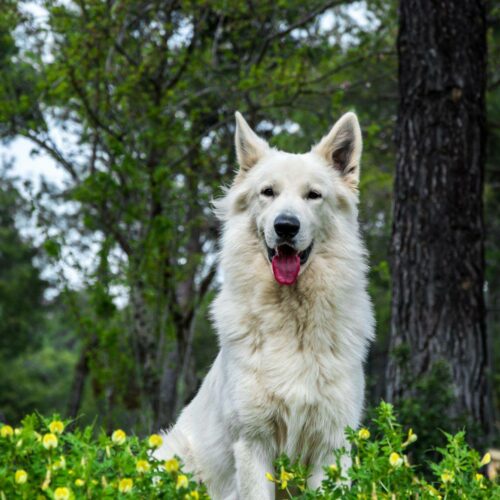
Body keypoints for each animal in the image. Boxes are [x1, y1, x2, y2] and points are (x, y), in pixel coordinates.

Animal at [156, 111, 376, 498]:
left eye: (313, 195)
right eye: (268, 192)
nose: (286, 226)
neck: (292, 320)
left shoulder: (331, 445)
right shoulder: (253, 442)